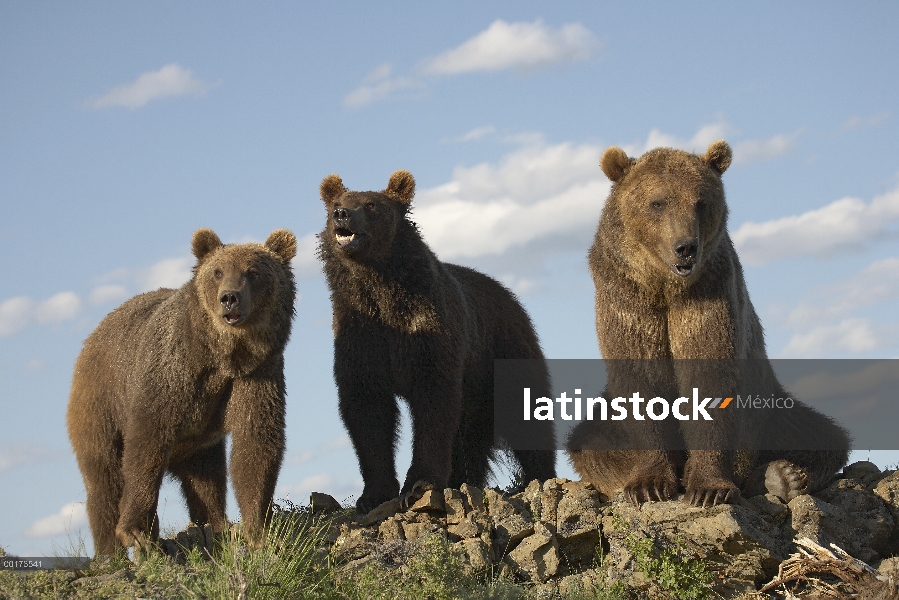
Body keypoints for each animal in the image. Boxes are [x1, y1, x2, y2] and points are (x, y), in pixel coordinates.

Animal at [68, 229, 298, 552]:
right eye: (218, 272)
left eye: (253, 272)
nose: (229, 298)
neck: (223, 355)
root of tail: (90, 339)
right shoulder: (170, 373)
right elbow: (145, 443)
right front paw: (135, 530)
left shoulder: (257, 375)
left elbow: (255, 443)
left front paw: (256, 529)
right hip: (100, 403)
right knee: (104, 480)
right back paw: (111, 552)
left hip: (196, 442)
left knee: (206, 478)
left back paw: (213, 523)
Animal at [314, 169, 556, 510]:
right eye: (337, 202)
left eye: (372, 204)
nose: (342, 215)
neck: (382, 287)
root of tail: (508, 294)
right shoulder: (362, 339)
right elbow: (367, 409)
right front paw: (374, 494)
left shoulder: (429, 332)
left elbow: (434, 402)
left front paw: (419, 484)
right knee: (470, 438)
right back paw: (465, 478)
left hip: (504, 350)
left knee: (526, 410)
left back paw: (540, 476)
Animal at [568, 139, 852, 506]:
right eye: (657, 202)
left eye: (701, 202)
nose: (685, 247)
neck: (666, 287)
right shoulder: (629, 299)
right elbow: (641, 379)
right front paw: (647, 484)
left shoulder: (708, 294)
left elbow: (710, 376)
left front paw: (707, 488)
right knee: (590, 440)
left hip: (770, 408)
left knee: (821, 435)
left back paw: (783, 475)